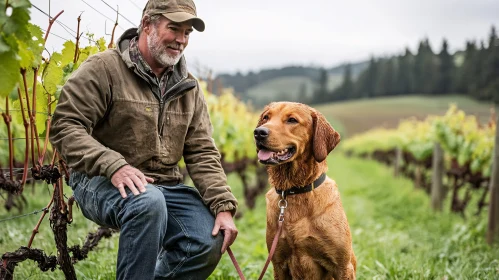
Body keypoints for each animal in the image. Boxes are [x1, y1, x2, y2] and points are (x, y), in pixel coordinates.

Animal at [256, 101, 358, 280]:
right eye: (266, 117)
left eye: (292, 120)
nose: (259, 132)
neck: (294, 190)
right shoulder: (278, 264)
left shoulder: (343, 266)